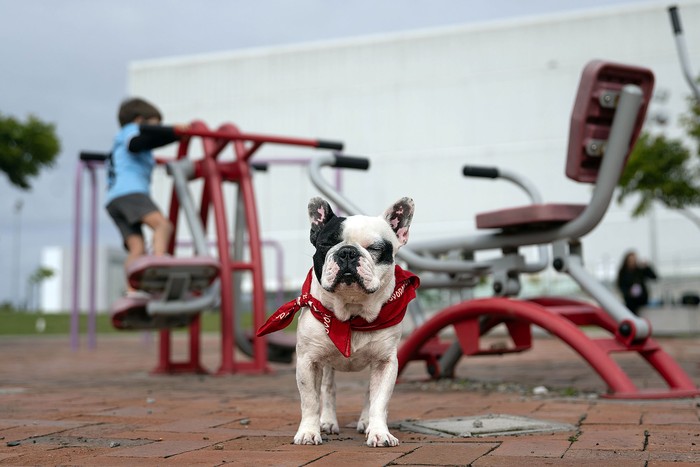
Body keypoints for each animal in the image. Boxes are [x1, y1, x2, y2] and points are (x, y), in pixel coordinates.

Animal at [260, 196, 418, 448]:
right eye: (326, 245)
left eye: (375, 248)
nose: (347, 252)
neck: (352, 314)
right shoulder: (308, 361)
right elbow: (310, 400)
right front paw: (309, 431)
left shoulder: (385, 363)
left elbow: (379, 401)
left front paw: (379, 432)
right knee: (327, 389)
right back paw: (327, 421)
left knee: (368, 393)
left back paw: (365, 422)